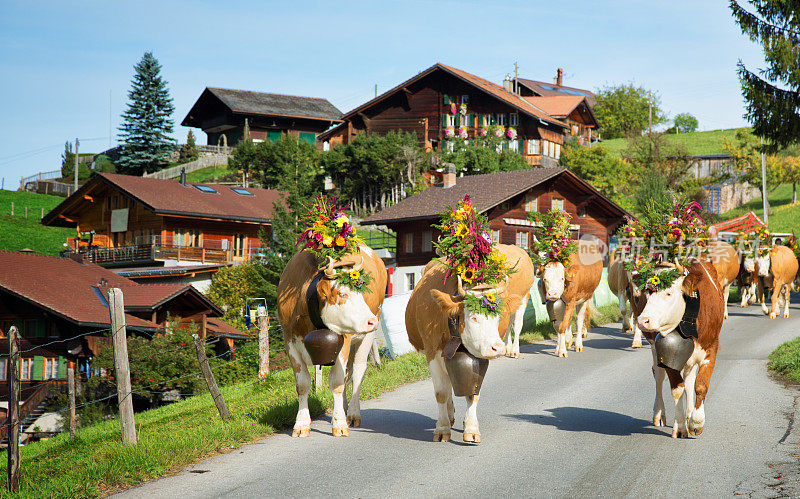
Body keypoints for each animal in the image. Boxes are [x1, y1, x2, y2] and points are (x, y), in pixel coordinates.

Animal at [276, 195, 386, 438]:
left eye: (361, 292)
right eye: (343, 294)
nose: (371, 320)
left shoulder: (343, 338)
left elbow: (336, 382)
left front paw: (340, 423)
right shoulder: (289, 341)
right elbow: (303, 385)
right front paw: (302, 424)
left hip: (364, 337)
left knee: (357, 372)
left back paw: (352, 413)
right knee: (347, 375)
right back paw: (343, 408)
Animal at [406, 197, 532, 444]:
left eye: (497, 317)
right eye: (473, 317)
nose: (497, 347)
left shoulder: (478, 356)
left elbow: (473, 392)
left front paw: (471, 428)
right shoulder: (432, 351)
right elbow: (441, 392)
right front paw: (442, 428)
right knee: (446, 388)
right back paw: (449, 415)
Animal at [636, 262, 724, 438]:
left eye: (669, 293)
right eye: (648, 292)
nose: (642, 320)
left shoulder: (711, 349)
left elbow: (700, 385)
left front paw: (696, 422)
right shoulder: (668, 353)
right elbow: (677, 389)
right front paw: (681, 427)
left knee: (690, 379)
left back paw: (690, 414)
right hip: (655, 347)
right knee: (658, 375)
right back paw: (659, 413)